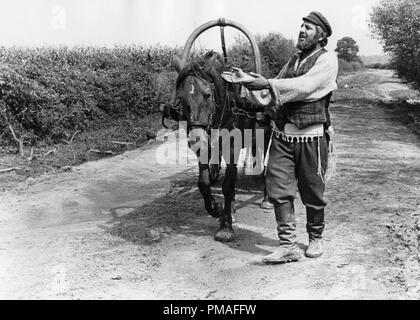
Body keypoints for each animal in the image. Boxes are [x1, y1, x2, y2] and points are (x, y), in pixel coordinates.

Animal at [165, 50, 272, 241]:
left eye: (208, 95)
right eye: (181, 97)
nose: (196, 139)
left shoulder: (232, 148)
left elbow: (228, 185)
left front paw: (226, 227)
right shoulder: (205, 148)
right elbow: (204, 183)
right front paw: (217, 209)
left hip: (264, 135)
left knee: (265, 167)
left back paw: (266, 198)